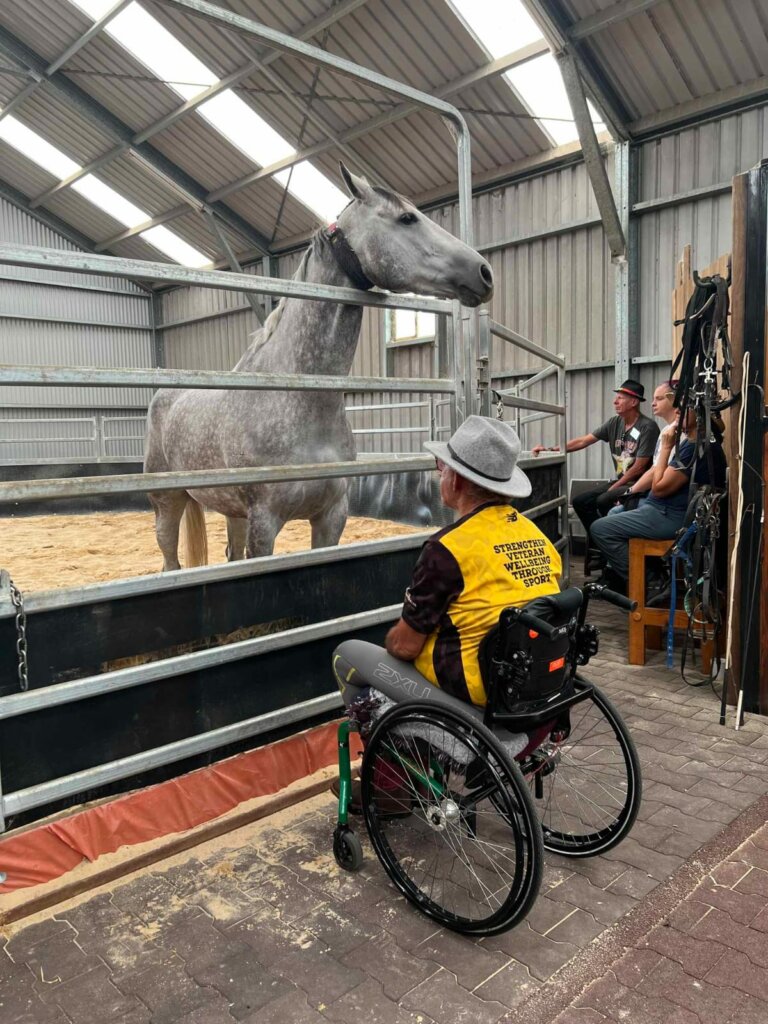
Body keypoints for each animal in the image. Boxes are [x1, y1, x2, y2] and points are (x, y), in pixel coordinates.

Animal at [143, 163, 493, 573]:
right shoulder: (265, 524)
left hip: (230, 509)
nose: (483, 272)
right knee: (170, 560)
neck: (297, 399)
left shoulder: (330, 518)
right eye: (407, 218)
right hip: (168, 501)